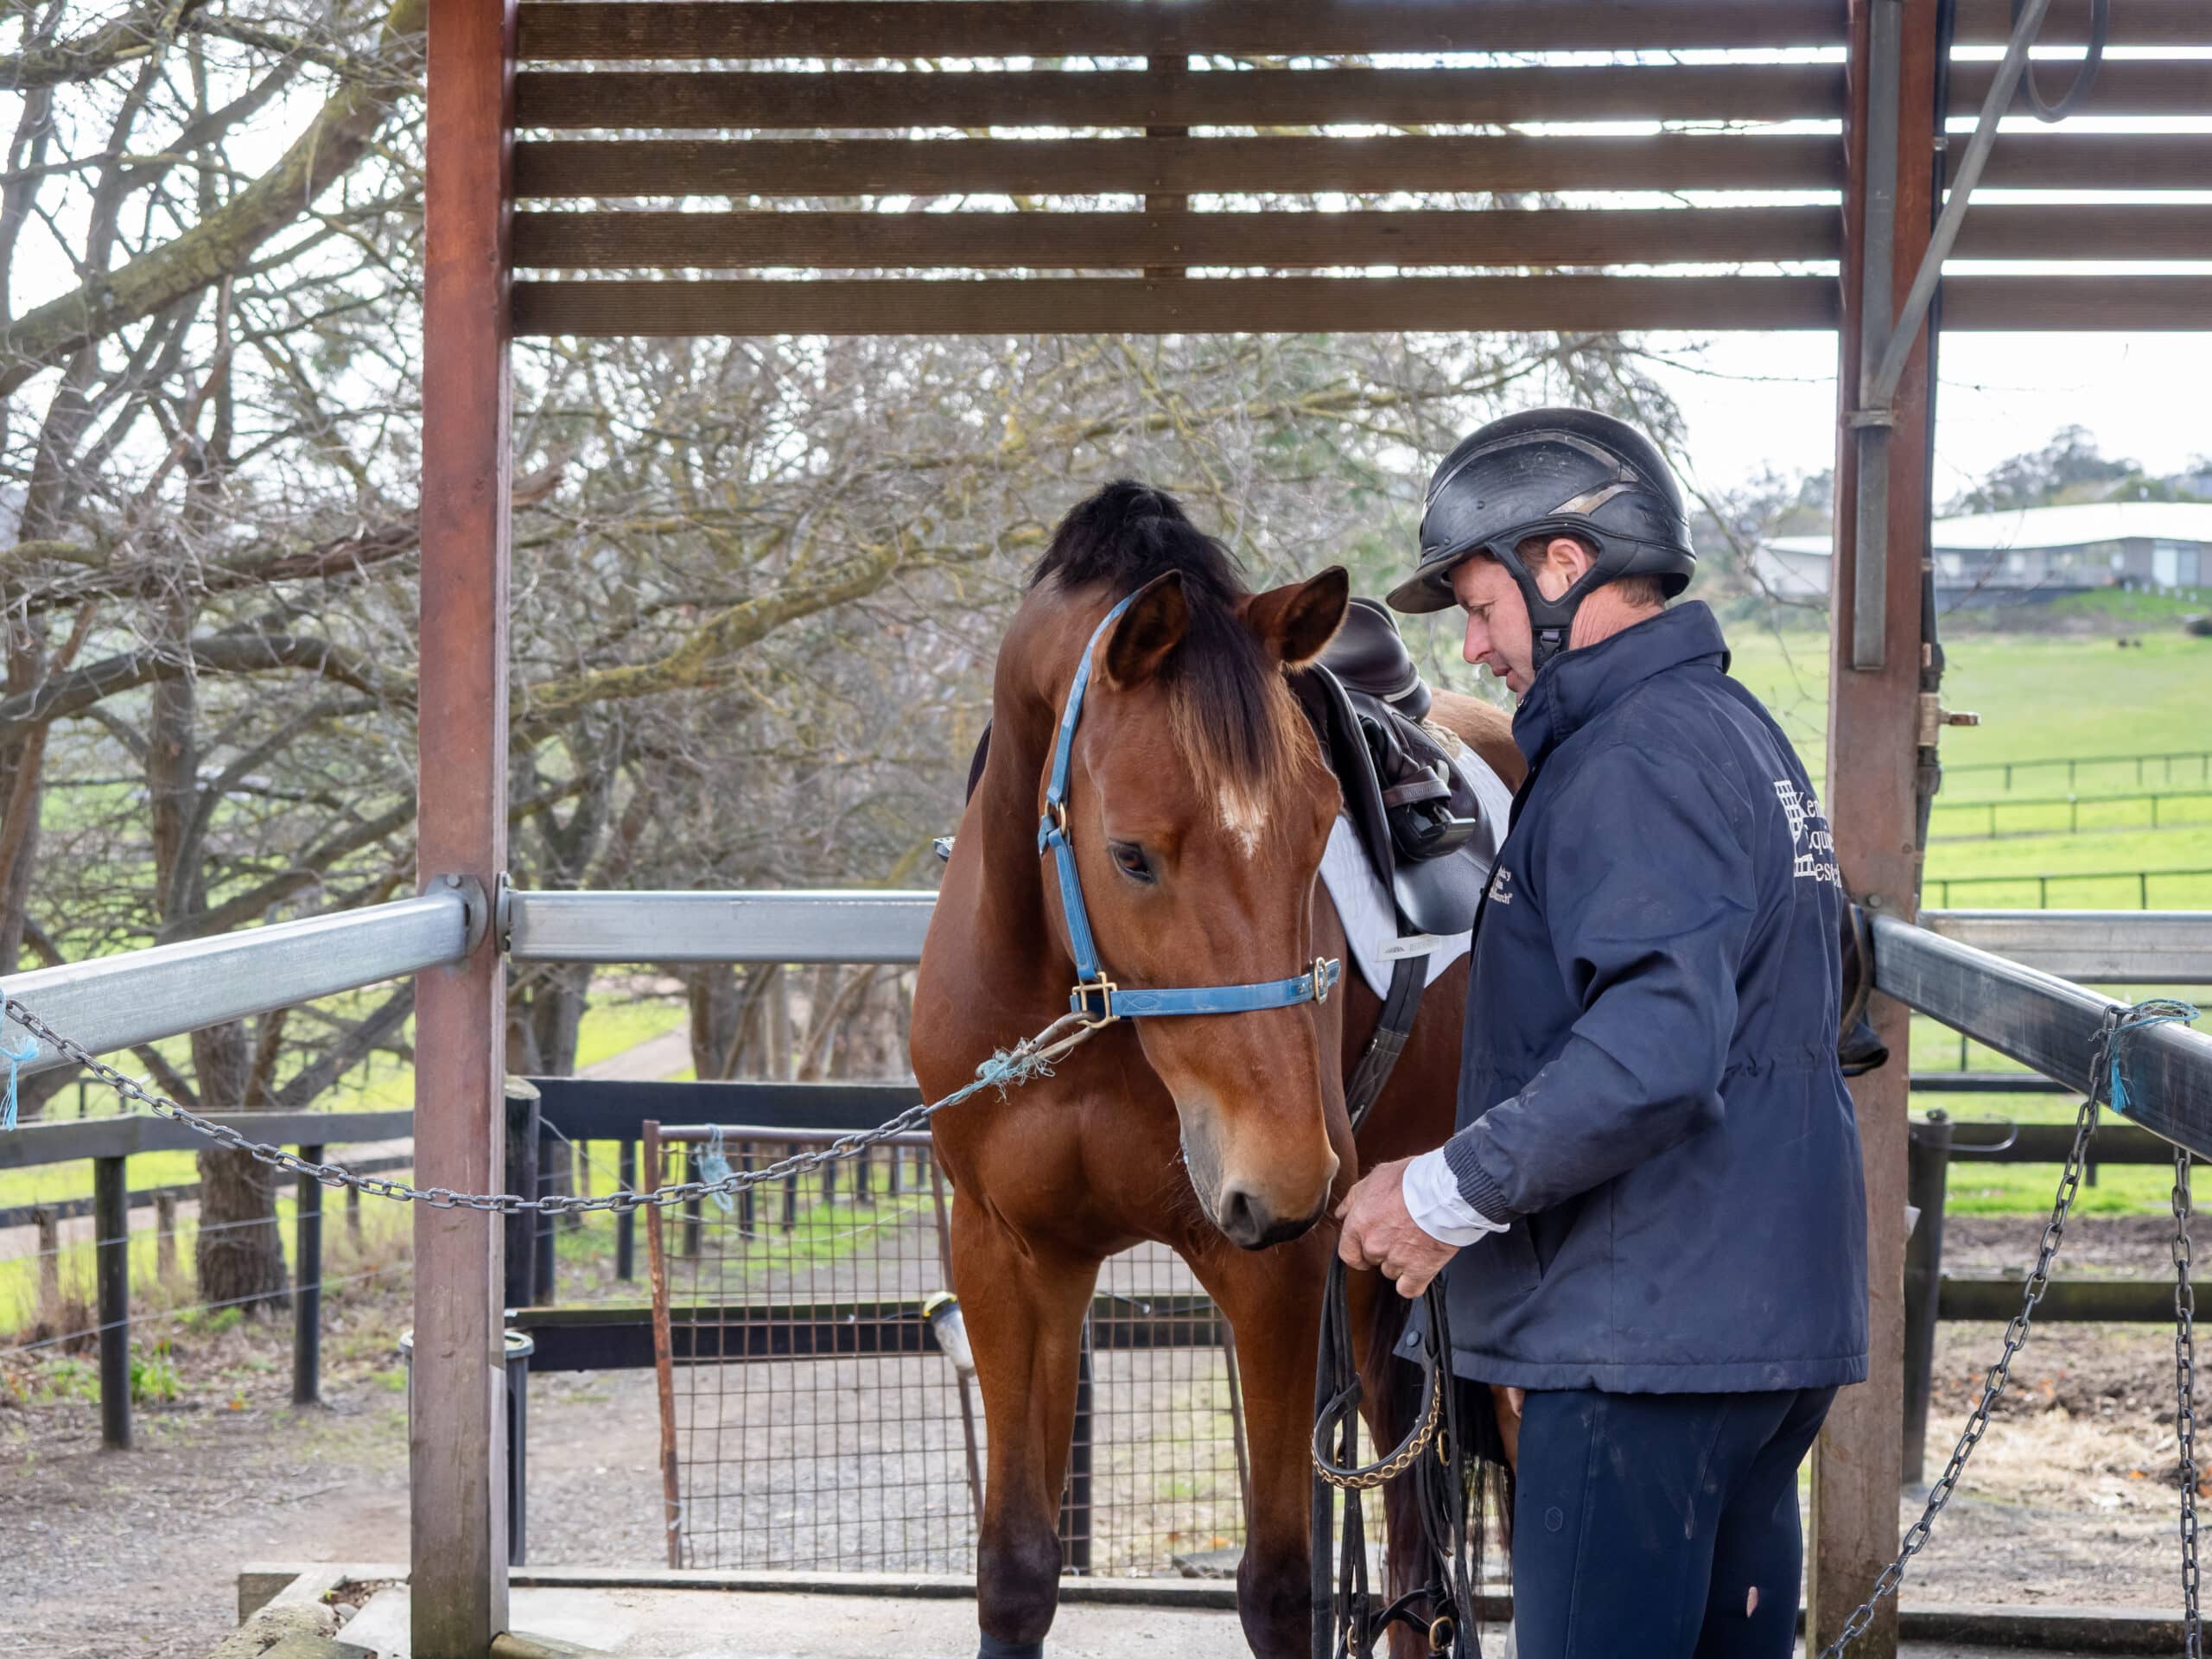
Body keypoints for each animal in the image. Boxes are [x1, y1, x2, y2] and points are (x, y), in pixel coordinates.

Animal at [912, 480, 1527, 1659]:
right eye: (1131, 856)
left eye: (1321, 826)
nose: (1284, 1178)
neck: (1091, 1013)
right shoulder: (1011, 1257)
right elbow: (1015, 1570)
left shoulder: (1274, 1270)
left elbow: (1280, 1585)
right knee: (1410, 1547)